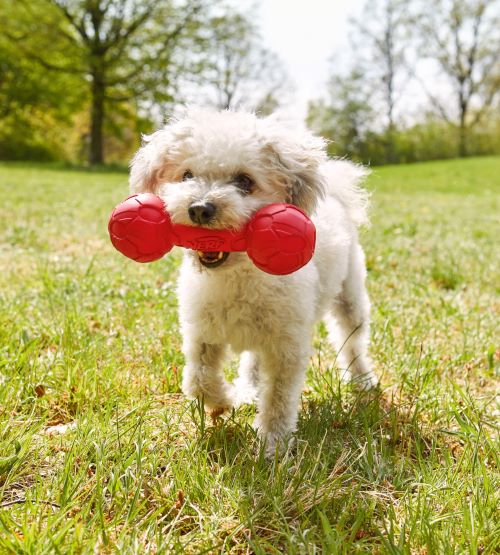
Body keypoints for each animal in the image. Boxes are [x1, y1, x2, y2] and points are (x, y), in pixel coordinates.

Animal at [130, 108, 378, 456]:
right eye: (187, 175)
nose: (199, 208)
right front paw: (223, 401)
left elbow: (278, 399)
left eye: (244, 181)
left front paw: (273, 445)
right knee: (251, 360)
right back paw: (247, 389)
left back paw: (362, 380)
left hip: (350, 296)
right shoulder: (201, 330)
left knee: (352, 340)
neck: (236, 278)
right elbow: (198, 377)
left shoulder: (287, 346)